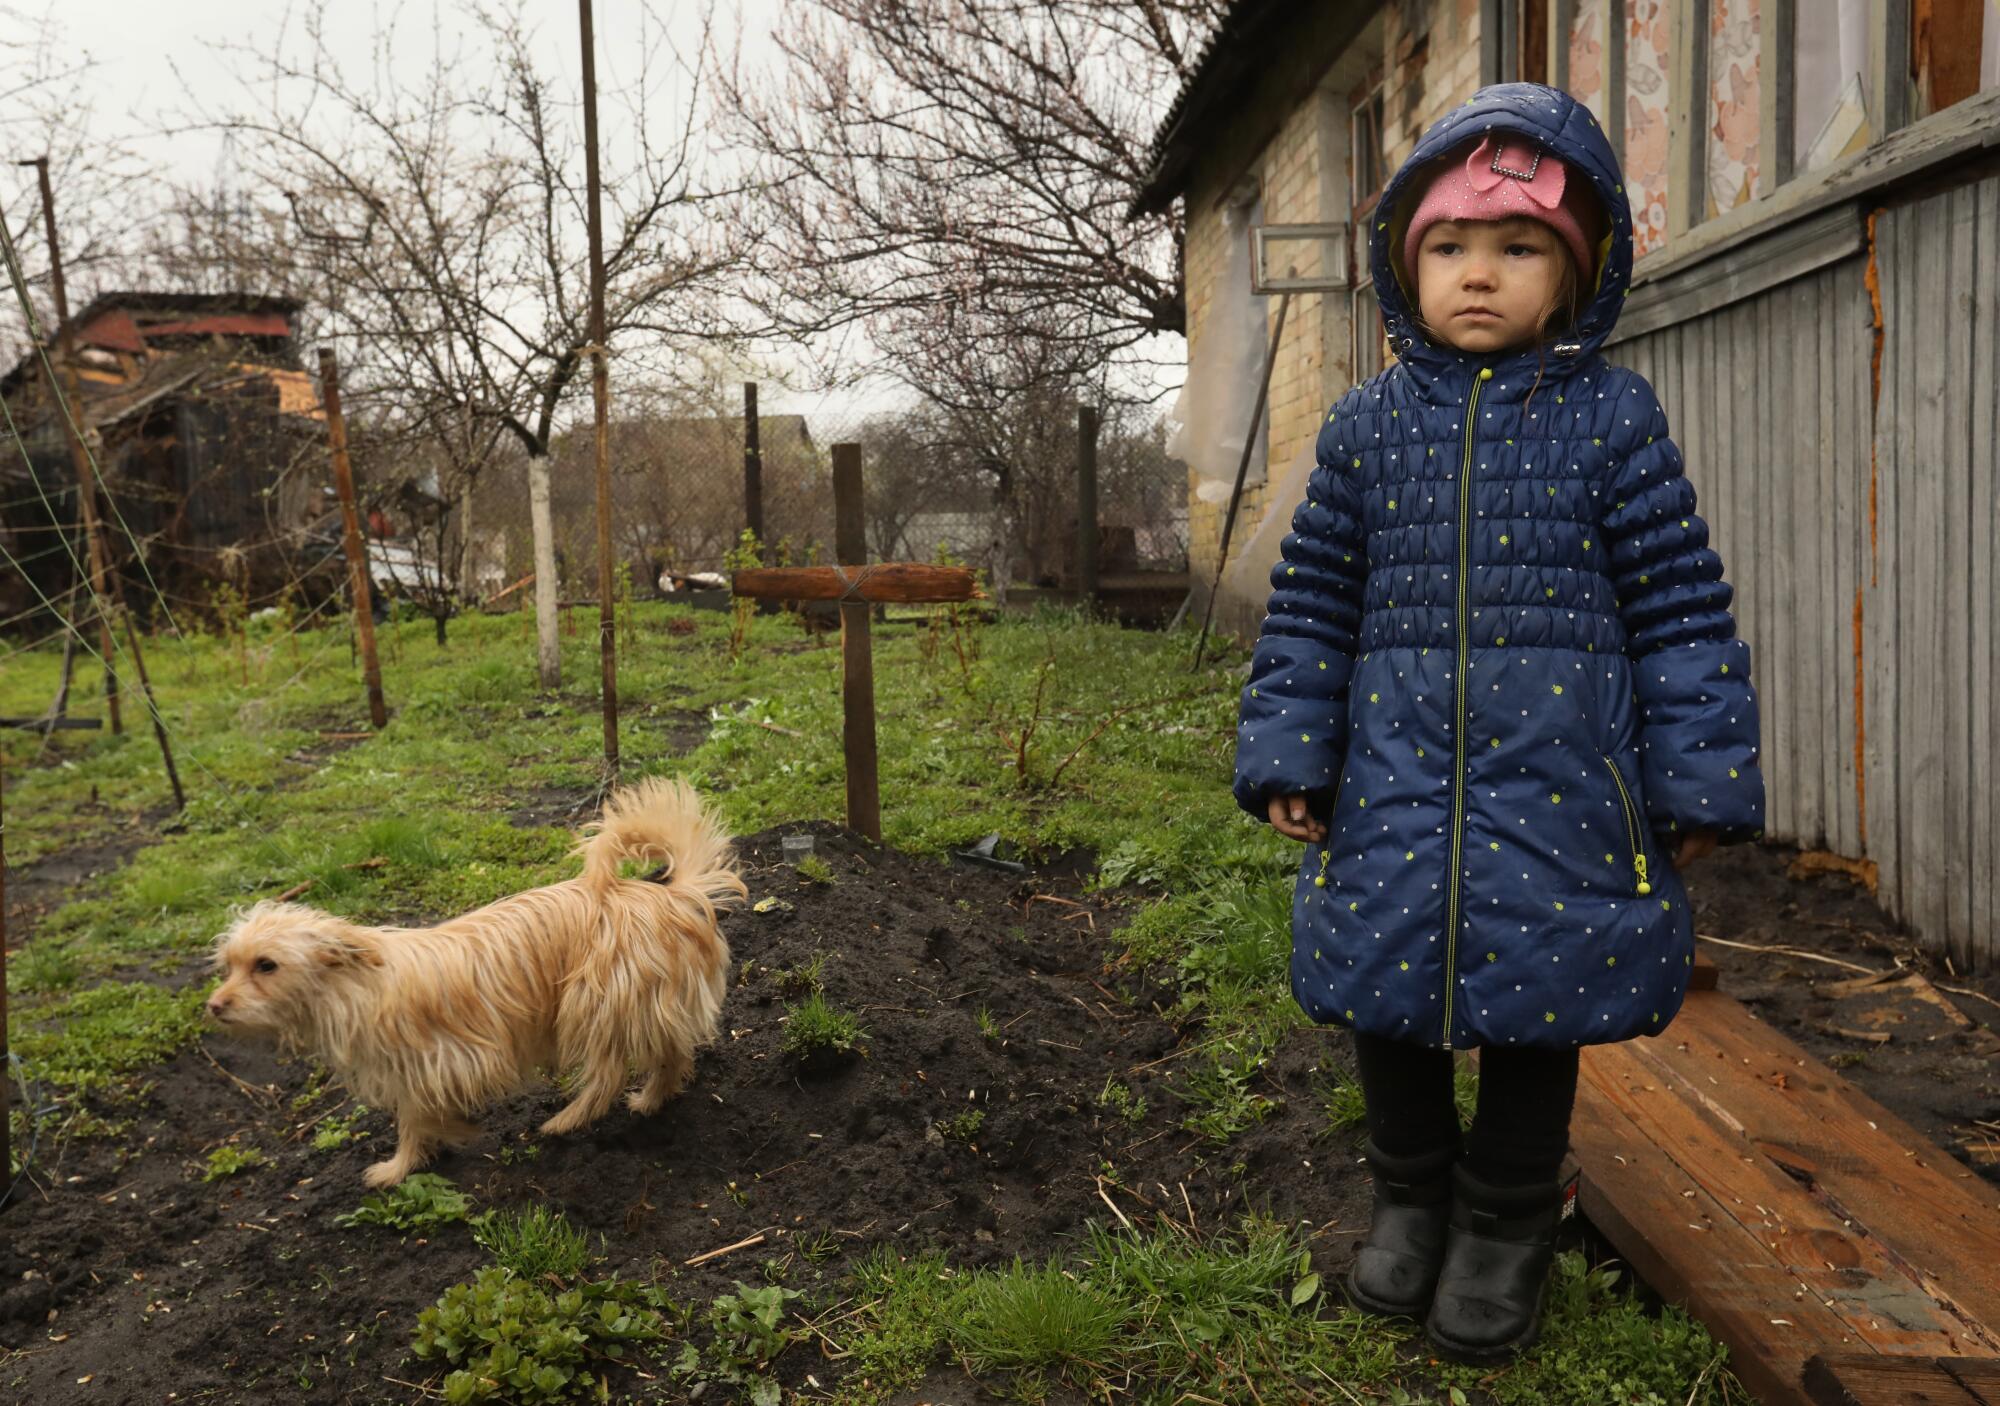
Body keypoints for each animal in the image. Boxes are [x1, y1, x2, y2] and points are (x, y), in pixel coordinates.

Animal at [209, 780, 752, 1184]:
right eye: (229, 965)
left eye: (266, 965)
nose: (214, 1006)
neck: (357, 986)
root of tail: (672, 895)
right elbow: (414, 1117)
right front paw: (418, 1155)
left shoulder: (449, 1059)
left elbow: (416, 1117)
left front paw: (406, 1162)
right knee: (672, 1053)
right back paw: (652, 1099)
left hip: (591, 1003)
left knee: (608, 1074)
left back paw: (566, 1120)